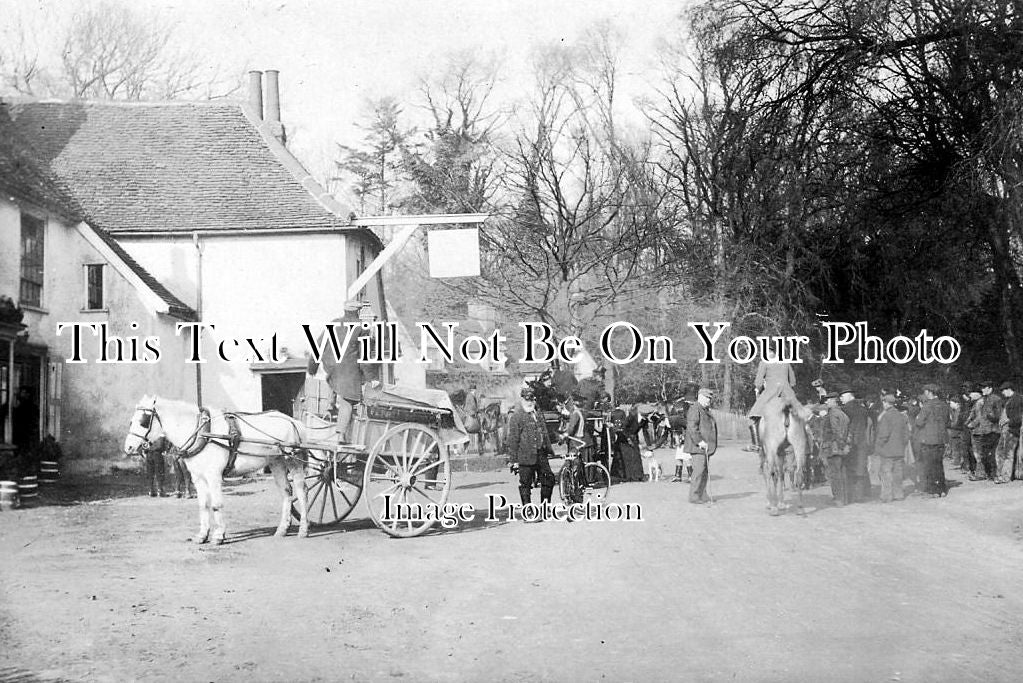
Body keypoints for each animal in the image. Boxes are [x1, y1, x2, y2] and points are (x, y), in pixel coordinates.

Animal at [123, 394, 308, 543]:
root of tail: (293, 421)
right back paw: (282, 529)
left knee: (301, 491)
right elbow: (203, 505)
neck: (202, 433)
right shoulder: (198, 477)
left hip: (293, 461)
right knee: (287, 492)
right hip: (276, 462)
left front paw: (219, 536)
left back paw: (304, 529)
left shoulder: (214, 476)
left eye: (143, 421)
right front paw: (202, 535)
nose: (129, 448)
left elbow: (216, 504)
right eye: (131, 421)